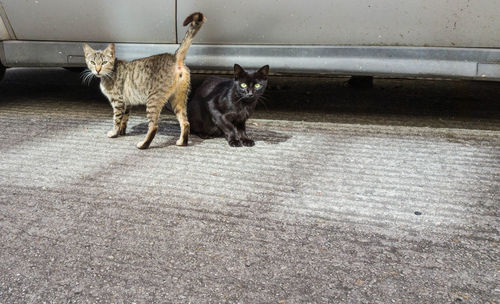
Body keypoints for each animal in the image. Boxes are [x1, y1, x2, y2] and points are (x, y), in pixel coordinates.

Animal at [82, 12, 205, 149]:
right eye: (92, 62)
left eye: (104, 62)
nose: (97, 70)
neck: (110, 72)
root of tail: (174, 57)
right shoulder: (126, 102)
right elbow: (124, 118)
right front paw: (122, 132)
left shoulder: (117, 101)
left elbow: (116, 119)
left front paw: (114, 133)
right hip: (178, 100)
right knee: (185, 122)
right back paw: (182, 142)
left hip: (153, 100)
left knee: (154, 126)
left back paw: (143, 144)